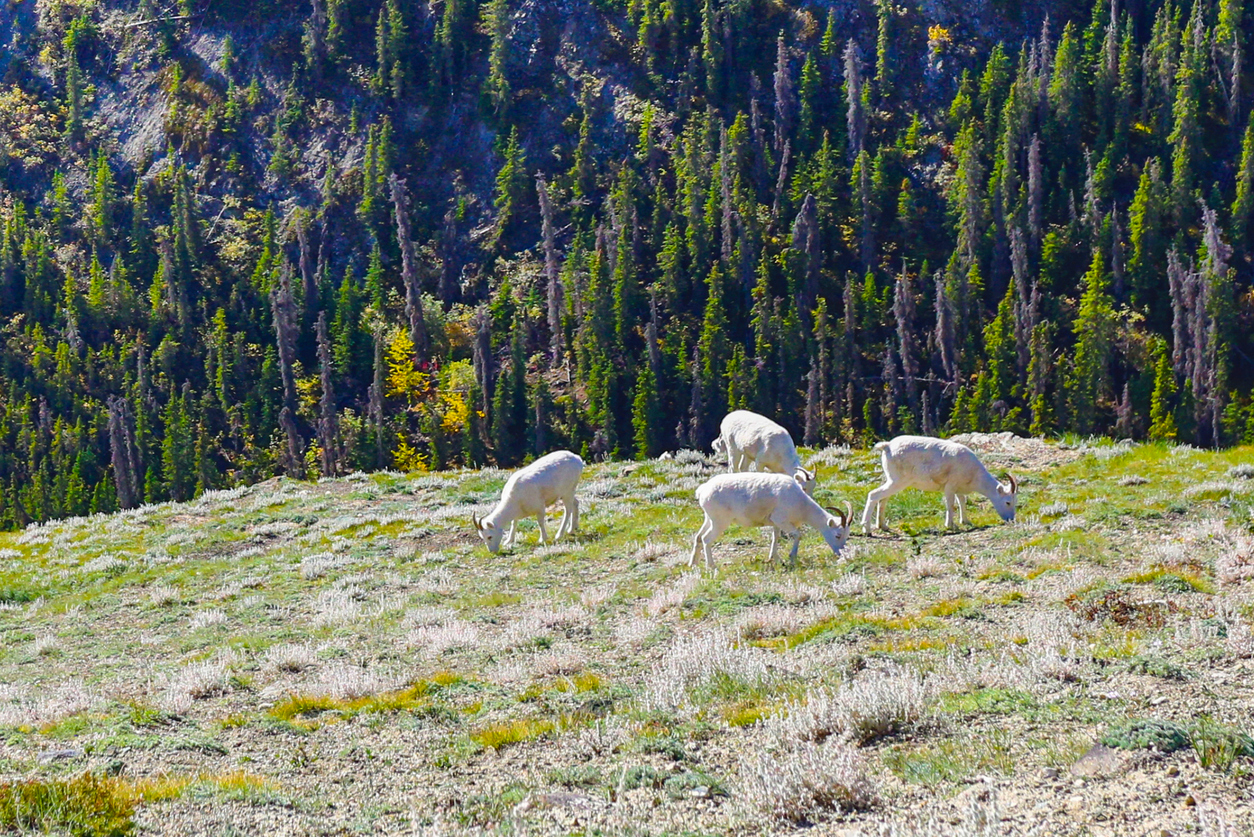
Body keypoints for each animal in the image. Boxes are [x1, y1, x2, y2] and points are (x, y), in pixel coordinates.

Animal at [690, 472, 852, 569]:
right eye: (837, 535)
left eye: (846, 536)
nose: (840, 553)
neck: (801, 503)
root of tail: (703, 490)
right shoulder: (782, 520)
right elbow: (798, 535)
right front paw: (792, 557)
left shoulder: (776, 524)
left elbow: (775, 538)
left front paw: (775, 559)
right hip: (720, 522)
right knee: (706, 539)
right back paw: (712, 566)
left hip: (709, 519)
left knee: (698, 537)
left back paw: (693, 564)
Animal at [860, 435, 1018, 533]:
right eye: (1008, 502)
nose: (1011, 520)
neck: (974, 474)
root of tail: (887, 446)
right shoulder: (950, 487)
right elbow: (950, 504)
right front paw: (951, 525)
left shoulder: (958, 489)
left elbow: (962, 502)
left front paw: (965, 521)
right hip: (898, 482)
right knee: (874, 495)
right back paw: (867, 529)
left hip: (891, 481)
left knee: (883, 498)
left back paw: (883, 526)